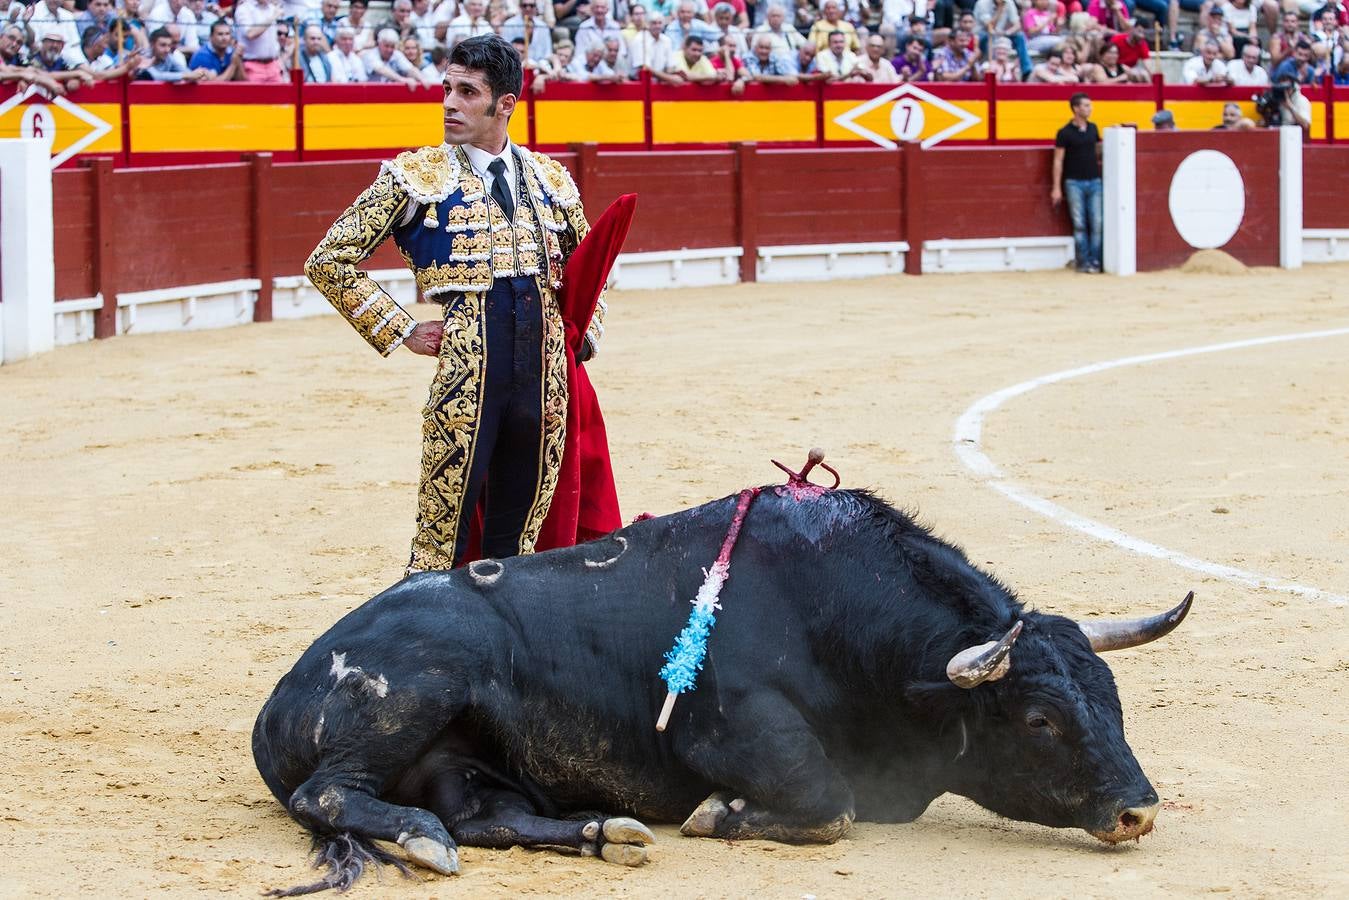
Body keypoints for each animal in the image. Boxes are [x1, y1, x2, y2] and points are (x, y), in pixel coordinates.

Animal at [253, 485, 1192, 895]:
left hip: (468, 764)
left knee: (484, 817)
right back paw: (422, 838)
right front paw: (717, 815)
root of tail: (278, 700)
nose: (1137, 810)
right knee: (330, 793)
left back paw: (603, 833)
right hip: (415, 688)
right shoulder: (731, 734)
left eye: (1112, 701)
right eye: (1038, 719)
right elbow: (829, 805)